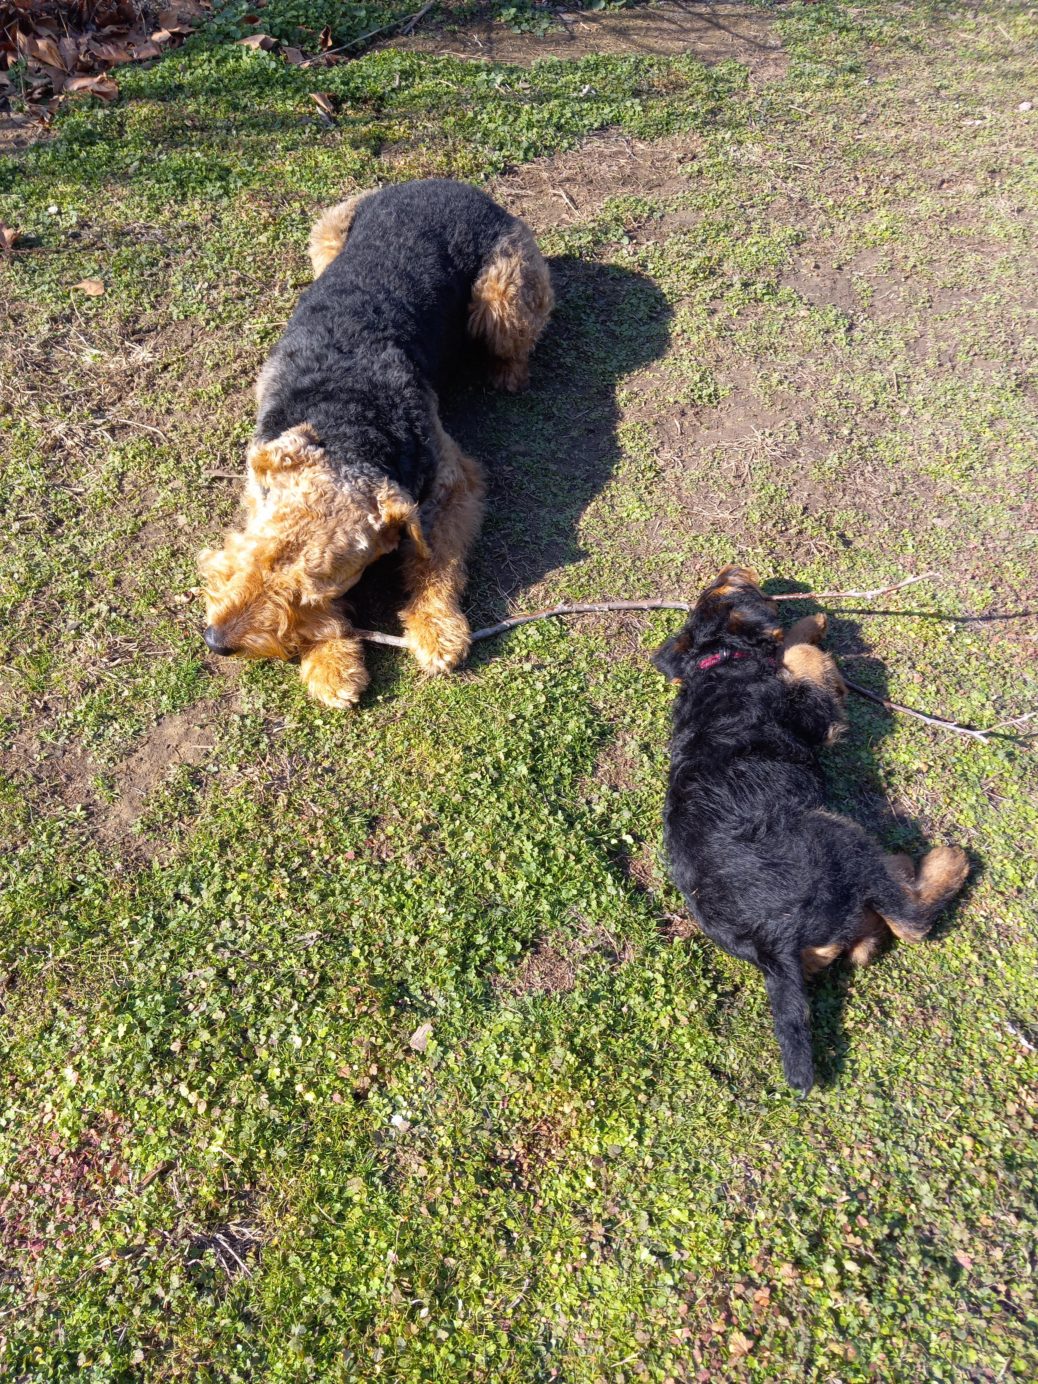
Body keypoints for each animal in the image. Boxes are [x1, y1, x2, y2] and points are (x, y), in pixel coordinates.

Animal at [196, 178, 553, 708]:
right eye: (262, 551)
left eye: (317, 588)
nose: (218, 642)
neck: (348, 419)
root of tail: (450, 183)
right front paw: (332, 664)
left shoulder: (453, 484)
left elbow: (436, 562)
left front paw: (436, 630)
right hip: (326, 236)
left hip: (502, 296)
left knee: (515, 343)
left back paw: (506, 374)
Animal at [653, 564, 974, 1090]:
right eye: (728, 587)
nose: (734, 566)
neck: (716, 661)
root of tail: (772, 947)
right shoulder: (812, 709)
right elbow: (797, 658)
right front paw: (808, 634)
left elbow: (790, 647)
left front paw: (811, 623)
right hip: (834, 833)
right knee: (909, 920)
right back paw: (946, 864)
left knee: (868, 938)